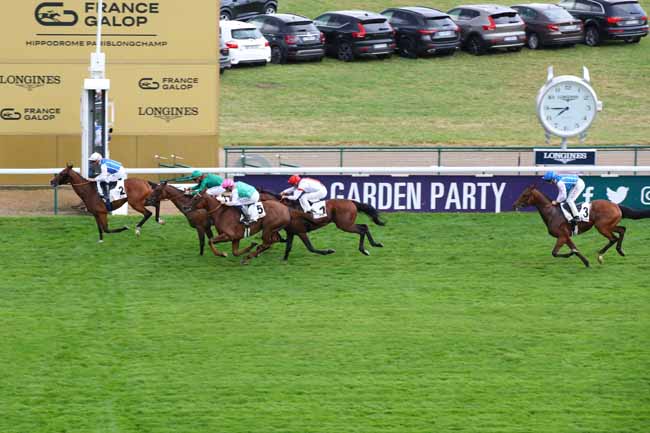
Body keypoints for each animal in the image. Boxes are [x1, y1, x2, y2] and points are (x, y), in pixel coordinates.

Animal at [512, 183, 648, 266]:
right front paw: (586, 262)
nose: (514, 205)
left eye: (525, 195)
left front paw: (570, 254)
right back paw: (620, 251)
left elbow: (555, 253)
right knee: (622, 230)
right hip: (609, 225)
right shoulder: (566, 236)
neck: (552, 213)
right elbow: (575, 249)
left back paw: (600, 255)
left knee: (613, 238)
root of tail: (616, 205)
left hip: (602, 226)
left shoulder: (562, 236)